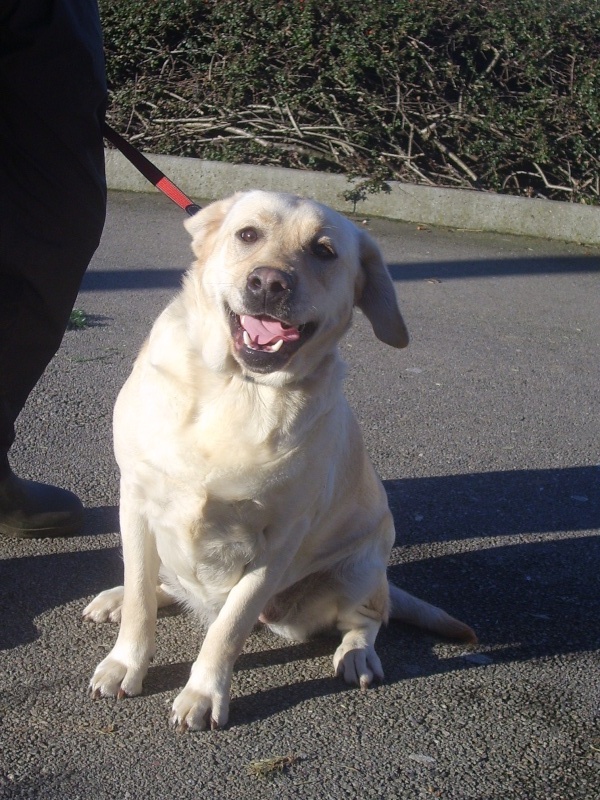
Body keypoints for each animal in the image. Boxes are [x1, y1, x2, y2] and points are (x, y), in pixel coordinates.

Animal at [85, 191, 478, 728]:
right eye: (248, 234)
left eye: (324, 251)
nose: (269, 282)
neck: (237, 387)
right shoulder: (137, 502)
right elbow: (142, 597)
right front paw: (125, 662)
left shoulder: (279, 541)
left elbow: (229, 628)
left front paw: (205, 693)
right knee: (157, 583)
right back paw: (115, 598)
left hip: (361, 565)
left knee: (369, 617)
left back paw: (357, 654)